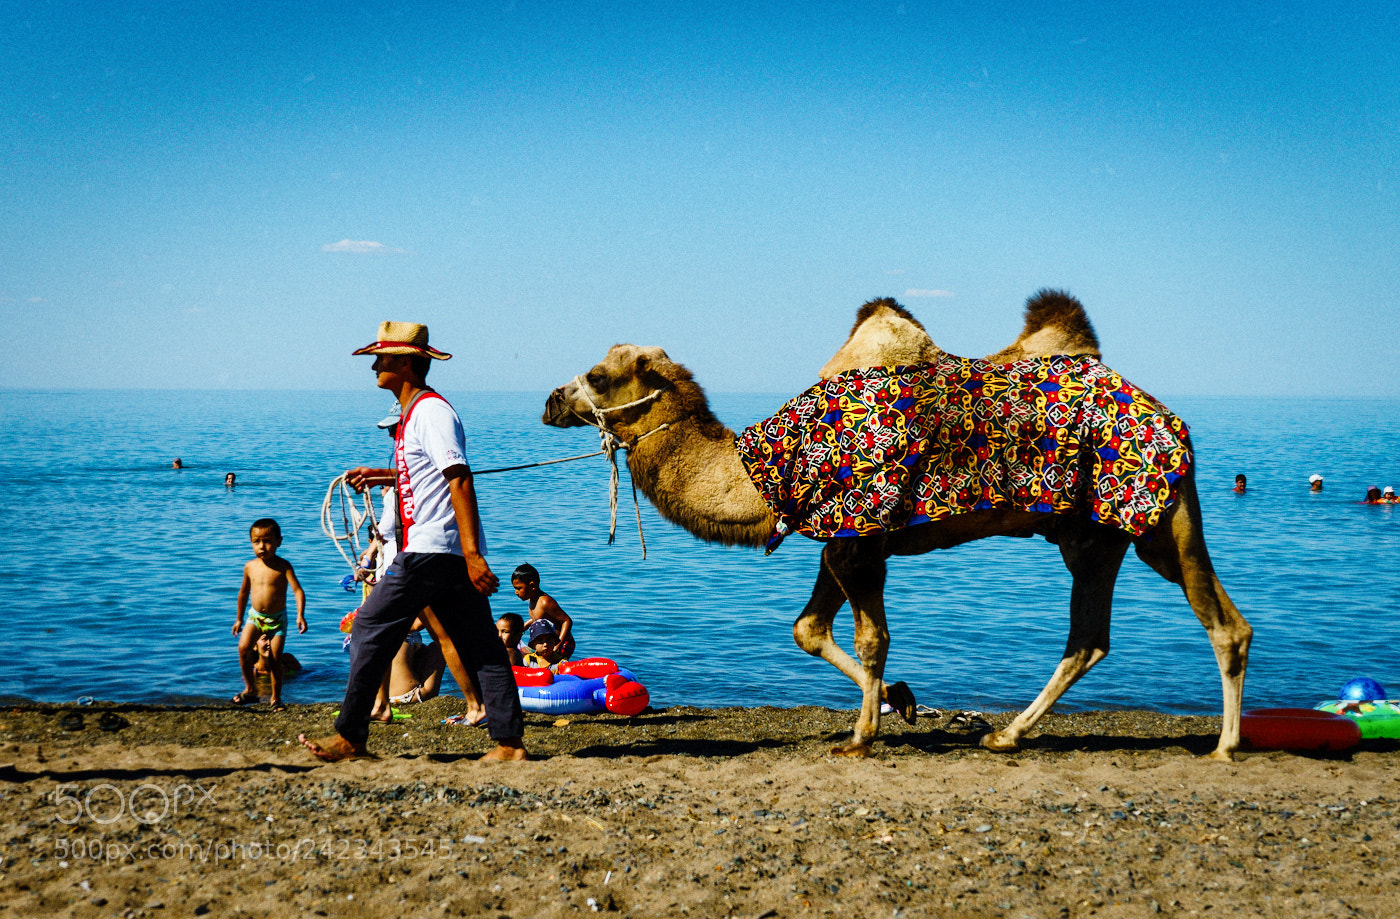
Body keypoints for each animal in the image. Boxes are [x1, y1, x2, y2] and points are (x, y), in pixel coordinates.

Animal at [542, 291, 1252, 759]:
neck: (762, 468)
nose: (549, 400)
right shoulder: (839, 541)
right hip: (1096, 537)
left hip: (1156, 516)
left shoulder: (859, 541)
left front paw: (863, 734)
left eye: (598, 376)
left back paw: (1223, 747)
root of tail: (1171, 417)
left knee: (1218, 624)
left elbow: (871, 640)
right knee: (1096, 638)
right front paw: (901, 701)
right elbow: (808, 631)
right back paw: (1005, 734)